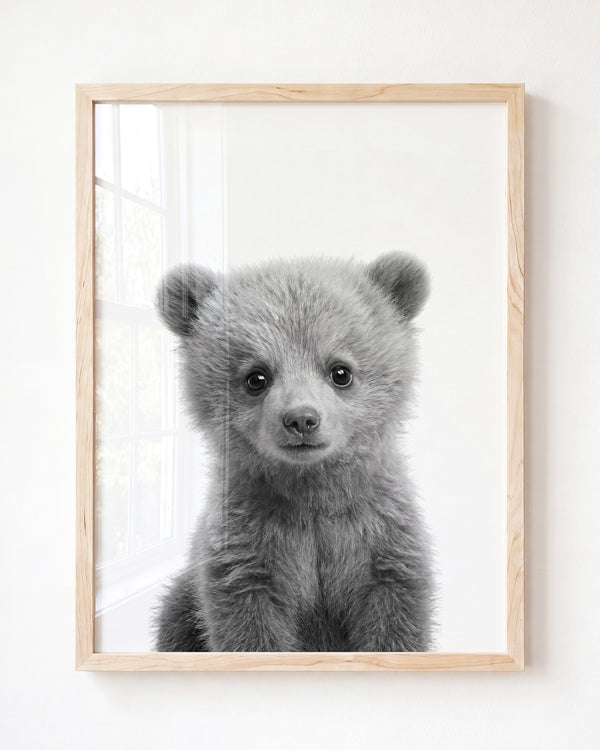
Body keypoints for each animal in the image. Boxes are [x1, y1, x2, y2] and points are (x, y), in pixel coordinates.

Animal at [153, 252, 435, 652]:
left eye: (340, 371)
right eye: (256, 377)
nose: (302, 419)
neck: (311, 492)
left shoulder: (380, 539)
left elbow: (395, 622)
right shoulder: (248, 550)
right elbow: (250, 629)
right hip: (183, 602)